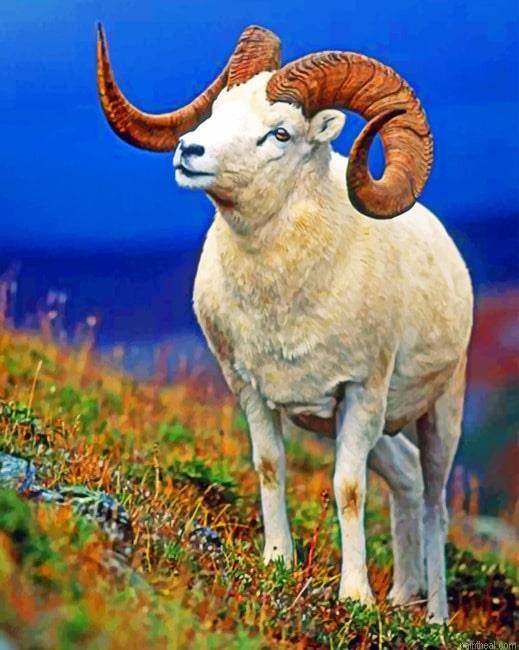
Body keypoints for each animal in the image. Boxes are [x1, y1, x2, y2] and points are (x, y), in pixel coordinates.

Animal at [96, 23, 473, 622]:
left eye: (280, 133)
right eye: (218, 110)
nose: (189, 151)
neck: (287, 297)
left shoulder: (360, 393)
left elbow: (348, 489)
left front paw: (355, 597)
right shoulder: (251, 390)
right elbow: (270, 465)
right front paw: (278, 561)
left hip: (439, 413)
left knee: (435, 501)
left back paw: (433, 615)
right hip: (376, 429)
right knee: (408, 481)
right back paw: (402, 595)